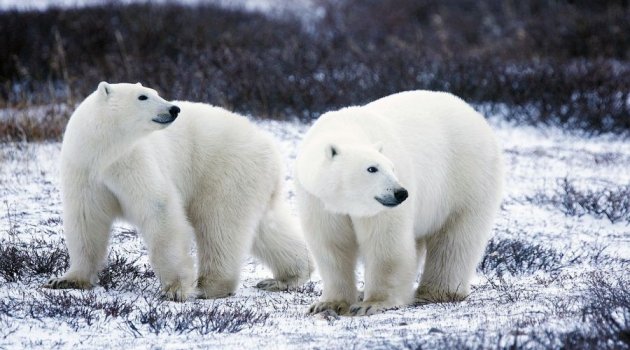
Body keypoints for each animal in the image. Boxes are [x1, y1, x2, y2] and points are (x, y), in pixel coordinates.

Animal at [44, 82, 314, 300]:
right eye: (143, 96)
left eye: (156, 92)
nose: (174, 109)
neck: (103, 151)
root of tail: (270, 146)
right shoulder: (84, 169)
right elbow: (86, 219)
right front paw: (66, 280)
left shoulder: (133, 160)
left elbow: (159, 208)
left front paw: (175, 289)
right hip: (253, 180)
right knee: (266, 227)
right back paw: (286, 277)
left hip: (225, 171)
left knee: (219, 224)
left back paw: (210, 286)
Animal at [296, 91, 504, 316]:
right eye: (372, 168)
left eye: (392, 167)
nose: (401, 193)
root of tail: (474, 113)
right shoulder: (318, 200)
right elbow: (331, 245)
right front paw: (328, 304)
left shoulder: (381, 209)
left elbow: (386, 243)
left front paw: (372, 303)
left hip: (466, 178)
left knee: (455, 238)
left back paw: (435, 292)